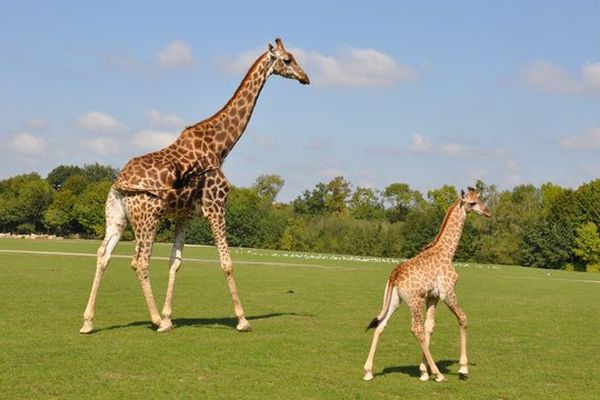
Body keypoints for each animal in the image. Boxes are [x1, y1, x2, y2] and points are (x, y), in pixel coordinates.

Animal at [79, 38, 310, 334]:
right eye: (288, 59)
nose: (305, 77)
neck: (221, 147)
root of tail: (119, 182)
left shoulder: (184, 216)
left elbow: (175, 262)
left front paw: (169, 315)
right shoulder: (216, 206)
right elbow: (226, 262)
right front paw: (242, 319)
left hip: (116, 217)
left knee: (102, 255)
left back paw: (88, 322)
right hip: (147, 217)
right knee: (139, 261)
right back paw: (155, 320)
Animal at [364, 188, 490, 382]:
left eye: (480, 199)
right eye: (472, 203)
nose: (488, 212)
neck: (447, 252)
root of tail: (394, 275)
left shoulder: (433, 296)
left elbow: (429, 327)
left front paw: (423, 371)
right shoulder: (447, 292)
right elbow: (463, 318)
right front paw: (463, 369)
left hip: (394, 300)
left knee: (381, 325)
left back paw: (368, 371)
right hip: (414, 300)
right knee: (415, 328)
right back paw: (439, 374)